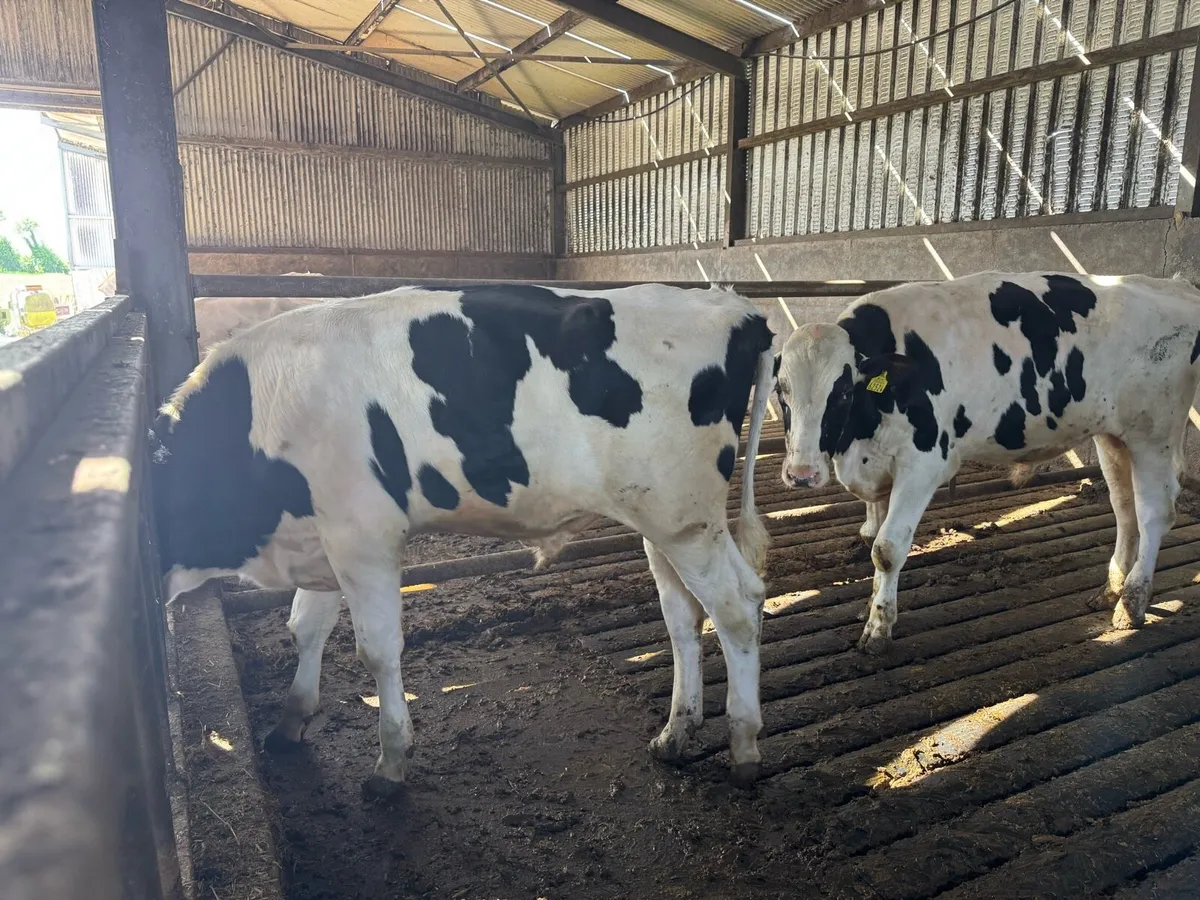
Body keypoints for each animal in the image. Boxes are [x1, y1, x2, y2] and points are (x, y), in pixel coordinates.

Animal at [153, 283, 776, 794]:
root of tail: (738, 308)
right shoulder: (321, 538)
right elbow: (304, 629)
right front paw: (290, 722)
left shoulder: (364, 536)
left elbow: (376, 650)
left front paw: (390, 764)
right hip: (663, 522)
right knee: (683, 615)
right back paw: (675, 735)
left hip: (684, 519)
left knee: (737, 607)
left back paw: (745, 747)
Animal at [772, 272, 1200, 654]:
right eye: (780, 390)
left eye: (843, 391)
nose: (801, 474)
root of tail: (1176, 285)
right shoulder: (874, 465)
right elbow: (870, 538)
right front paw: (873, 605)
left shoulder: (923, 464)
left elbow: (887, 548)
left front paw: (879, 628)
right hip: (1114, 435)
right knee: (1125, 508)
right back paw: (1111, 588)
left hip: (1153, 434)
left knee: (1155, 514)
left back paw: (1132, 603)